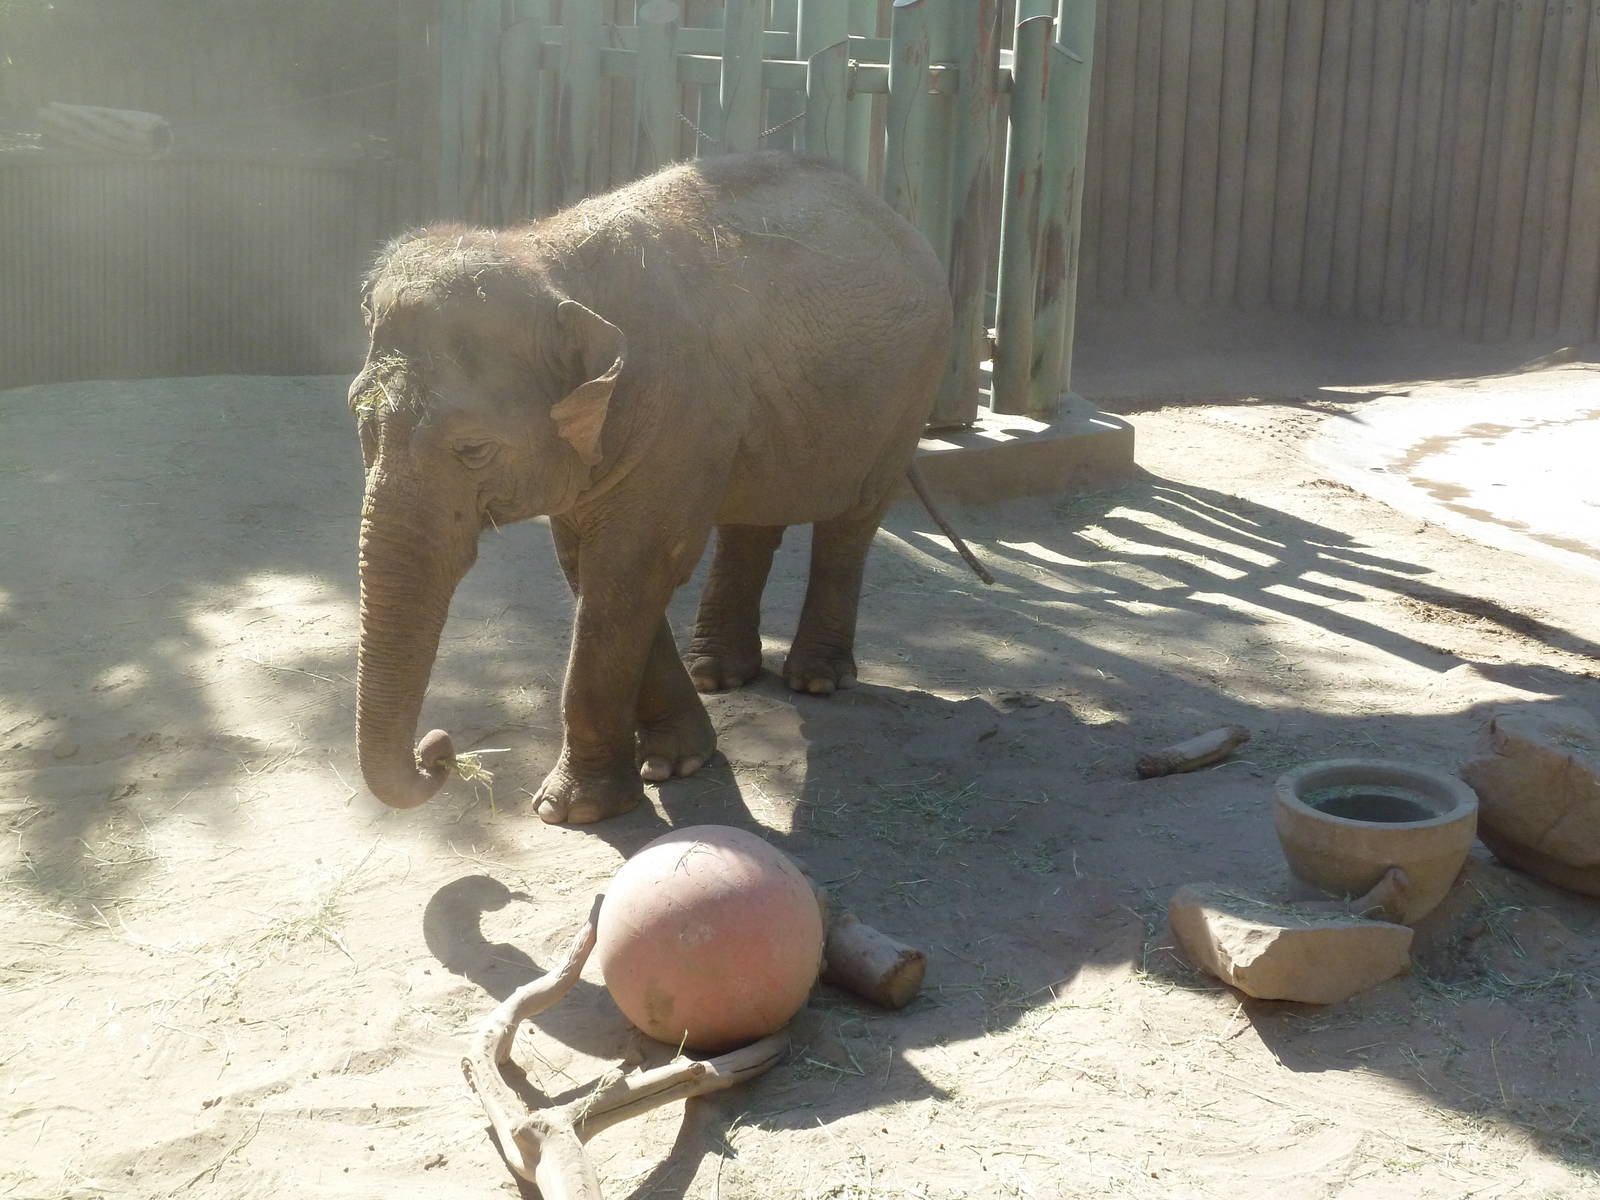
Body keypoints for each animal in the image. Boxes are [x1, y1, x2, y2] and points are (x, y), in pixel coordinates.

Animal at [348, 151, 953, 824]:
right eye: (359, 422)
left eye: (473, 449)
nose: (439, 750)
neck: (546, 255)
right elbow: (588, 566)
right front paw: (676, 764)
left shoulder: (674, 413)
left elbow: (630, 568)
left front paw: (575, 811)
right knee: (751, 519)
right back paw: (718, 673)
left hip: (911, 391)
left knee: (852, 521)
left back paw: (816, 679)